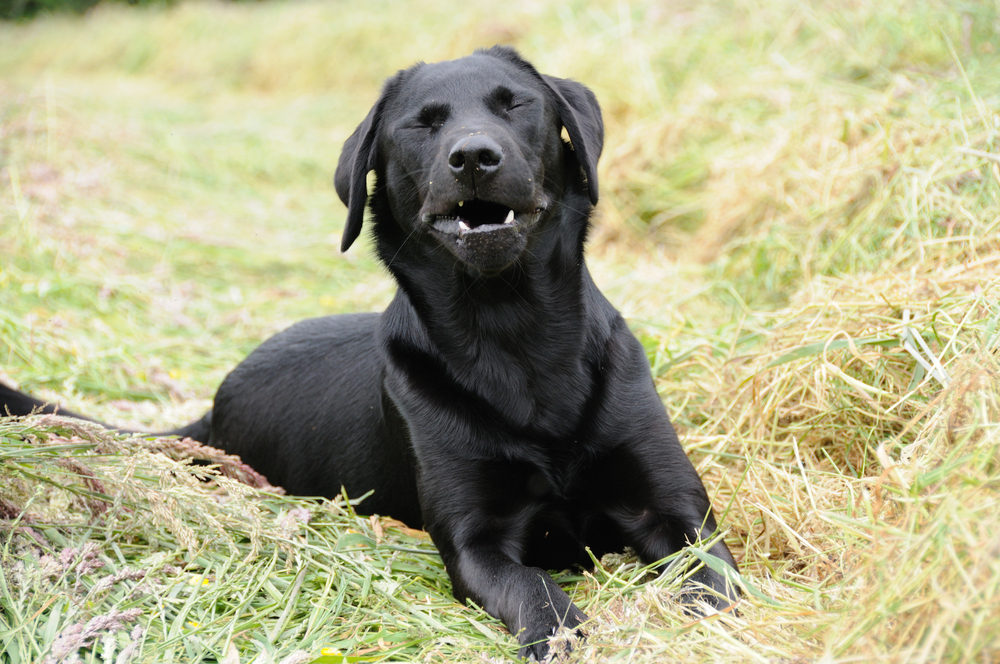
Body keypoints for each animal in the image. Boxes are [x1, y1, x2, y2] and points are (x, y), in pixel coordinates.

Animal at [3, 46, 740, 660]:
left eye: (516, 105)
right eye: (422, 125)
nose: (474, 156)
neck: (514, 334)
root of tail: (211, 411)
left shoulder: (675, 512)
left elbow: (716, 579)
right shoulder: (477, 544)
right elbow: (536, 592)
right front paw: (564, 635)